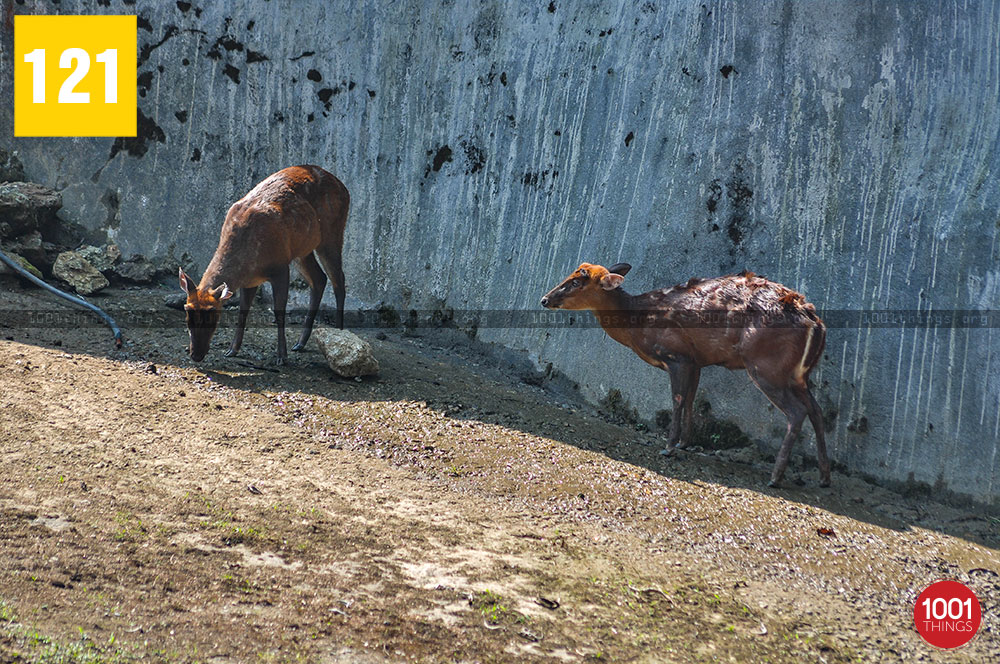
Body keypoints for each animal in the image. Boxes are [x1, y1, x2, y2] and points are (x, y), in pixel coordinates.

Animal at [179, 165, 348, 364]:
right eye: (187, 315)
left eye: (213, 317)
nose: (196, 355)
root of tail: (343, 186)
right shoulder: (250, 280)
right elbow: (243, 311)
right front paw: (232, 350)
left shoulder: (280, 266)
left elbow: (279, 312)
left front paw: (282, 356)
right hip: (303, 250)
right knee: (319, 279)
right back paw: (300, 343)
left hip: (332, 233)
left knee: (338, 280)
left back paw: (340, 333)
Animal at [544, 260, 832, 488]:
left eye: (577, 281)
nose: (544, 299)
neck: (639, 322)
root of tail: (816, 323)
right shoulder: (696, 362)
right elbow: (691, 399)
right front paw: (684, 443)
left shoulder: (677, 356)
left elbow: (677, 399)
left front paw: (669, 446)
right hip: (797, 375)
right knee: (816, 410)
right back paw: (824, 477)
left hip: (766, 367)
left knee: (797, 412)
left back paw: (775, 477)